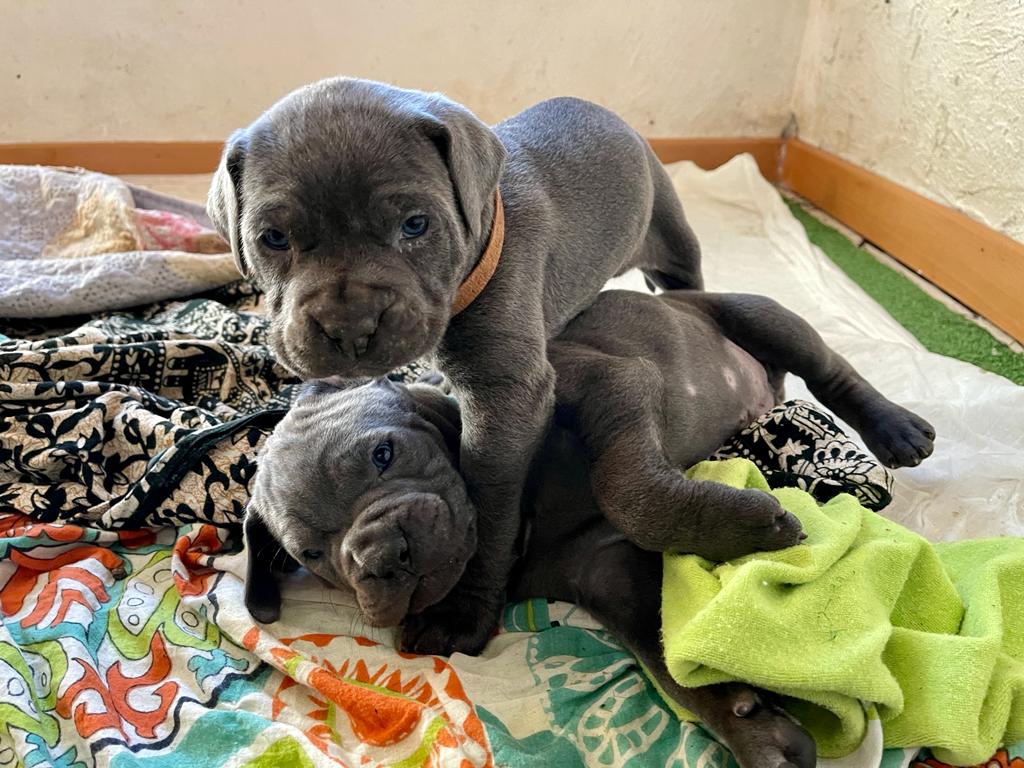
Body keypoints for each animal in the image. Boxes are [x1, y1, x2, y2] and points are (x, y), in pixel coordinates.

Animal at [207, 78, 704, 655]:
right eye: (274, 238)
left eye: (415, 225)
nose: (351, 327)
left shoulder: (504, 393)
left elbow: (488, 496)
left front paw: (460, 609)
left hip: (669, 231)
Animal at [245, 288, 937, 768]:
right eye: (310, 553)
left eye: (383, 454)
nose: (381, 555)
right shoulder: (604, 569)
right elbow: (668, 656)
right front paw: (750, 724)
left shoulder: (609, 383)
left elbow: (629, 490)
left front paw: (748, 525)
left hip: (756, 313)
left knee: (829, 369)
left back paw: (895, 427)